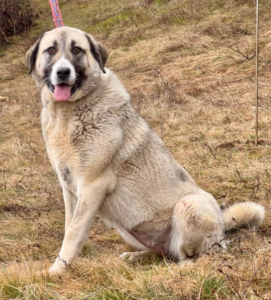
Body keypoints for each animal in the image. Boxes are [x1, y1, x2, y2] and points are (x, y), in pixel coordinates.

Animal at [26, 27, 266, 276]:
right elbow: (68, 227)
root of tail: (222, 228)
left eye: (76, 50)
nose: (63, 72)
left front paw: (56, 271)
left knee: (199, 254)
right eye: (51, 50)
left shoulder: (92, 187)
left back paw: (185, 265)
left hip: (189, 205)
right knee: (163, 254)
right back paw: (135, 256)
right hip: (127, 228)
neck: (68, 111)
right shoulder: (70, 189)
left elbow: (73, 232)